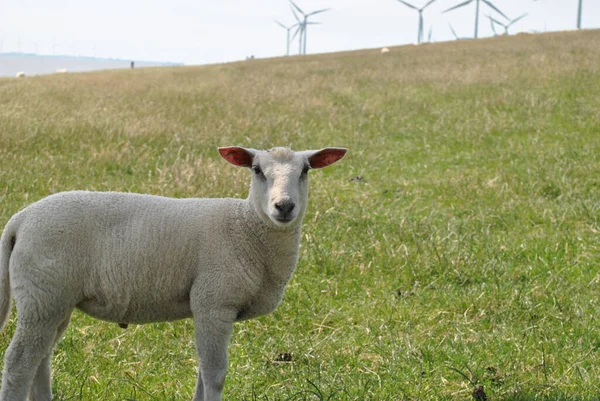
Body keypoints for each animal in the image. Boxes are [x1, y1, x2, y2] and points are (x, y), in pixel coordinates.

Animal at [0, 145, 346, 400]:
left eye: (305, 170)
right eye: (257, 170)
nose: (284, 206)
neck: (246, 227)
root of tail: (20, 220)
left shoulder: (209, 309)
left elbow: (203, 373)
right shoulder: (214, 302)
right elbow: (215, 374)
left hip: (54, 301)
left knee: (40, 359)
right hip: (43, 297)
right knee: (19, 362)